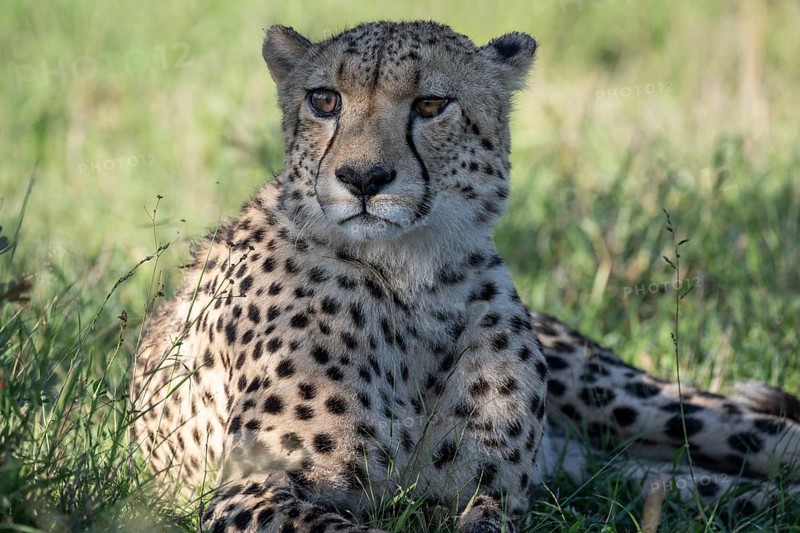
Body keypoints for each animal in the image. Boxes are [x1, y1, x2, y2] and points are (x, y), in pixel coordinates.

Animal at [130, 20, 800, 532]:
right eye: (325, 100)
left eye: (431, 105)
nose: (363, 178)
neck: (407, 279)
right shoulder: (249, 490)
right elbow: (343, 524)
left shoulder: (496, 493)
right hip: (599, 462)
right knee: (665, 477)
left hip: (615, 400)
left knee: (761, 435)